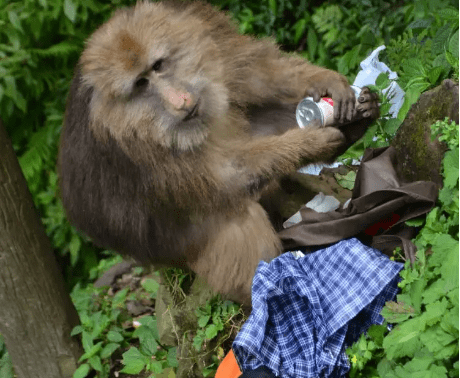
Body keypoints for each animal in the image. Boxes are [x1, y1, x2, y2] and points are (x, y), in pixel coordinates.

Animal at [58, 0, 380, 306]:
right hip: (193, 256)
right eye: (140, 84)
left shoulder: (199, 24)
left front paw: (327, 84)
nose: (180, 100)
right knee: (239, 216)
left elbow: (252, 71)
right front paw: (311, 141)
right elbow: (224, 175)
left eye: (158, 66)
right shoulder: (133, 152)